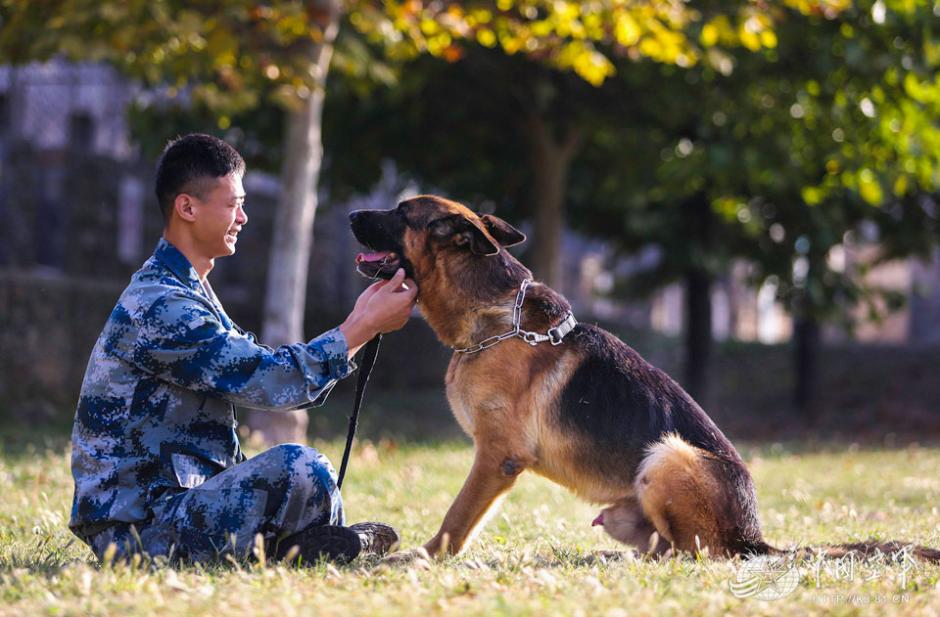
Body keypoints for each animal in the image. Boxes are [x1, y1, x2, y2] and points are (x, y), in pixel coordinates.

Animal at [350, 195, 940, 560]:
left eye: (401, 212)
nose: (352, 211)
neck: (497, 319)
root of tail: (755, 539)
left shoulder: (497, 458)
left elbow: (457, 517)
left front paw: (419, 559)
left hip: (667, 455)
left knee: (698, 555)